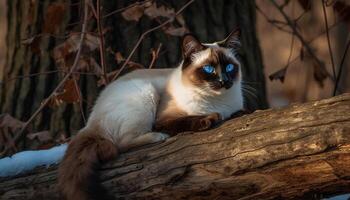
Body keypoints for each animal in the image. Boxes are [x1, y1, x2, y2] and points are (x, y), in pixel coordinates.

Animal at [58, 28, 243, 200]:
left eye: (229, 67)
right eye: (209, 69)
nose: (224, 81)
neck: (217, 101)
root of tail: (90, 123)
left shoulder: (236, 107)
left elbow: (238, 112)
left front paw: (232, 115)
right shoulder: (164, 119)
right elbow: (189, 119)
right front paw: (212, 118)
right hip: (145, 92)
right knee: (122, 144)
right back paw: (158, 137)